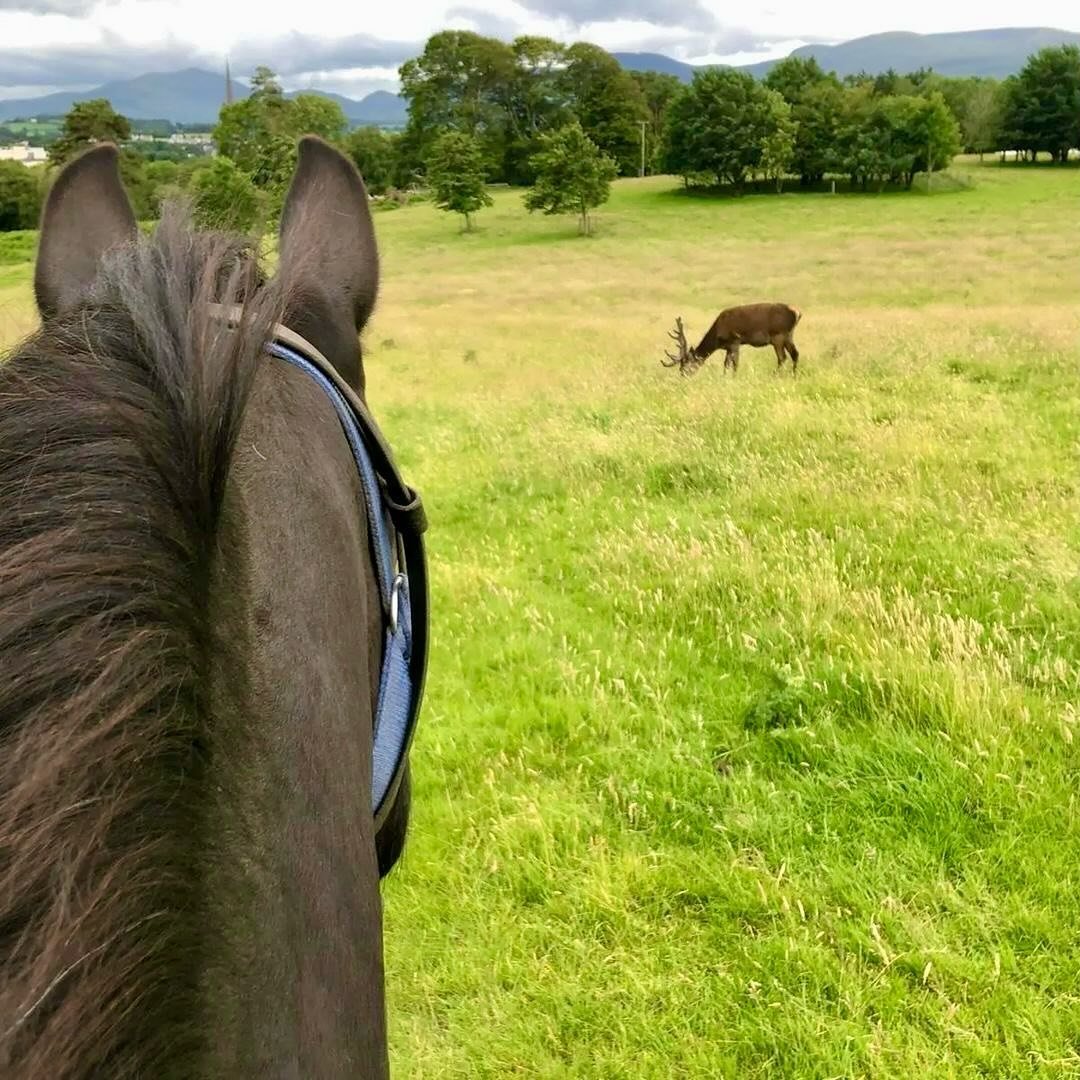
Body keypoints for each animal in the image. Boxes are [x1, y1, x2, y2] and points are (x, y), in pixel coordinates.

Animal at [656, 300, 803, 375]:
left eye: (685, 365)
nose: (683, 376)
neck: (718, 336)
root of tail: (797, 313)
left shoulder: (735, 340)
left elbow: (735, 363)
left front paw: (734, 377)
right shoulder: (728, 347)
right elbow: (726, 364)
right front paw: (725, 377)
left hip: (778, 335)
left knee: (782, 357)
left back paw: (776, 375)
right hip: (788, 335)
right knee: (795, 354)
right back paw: (794, 375)